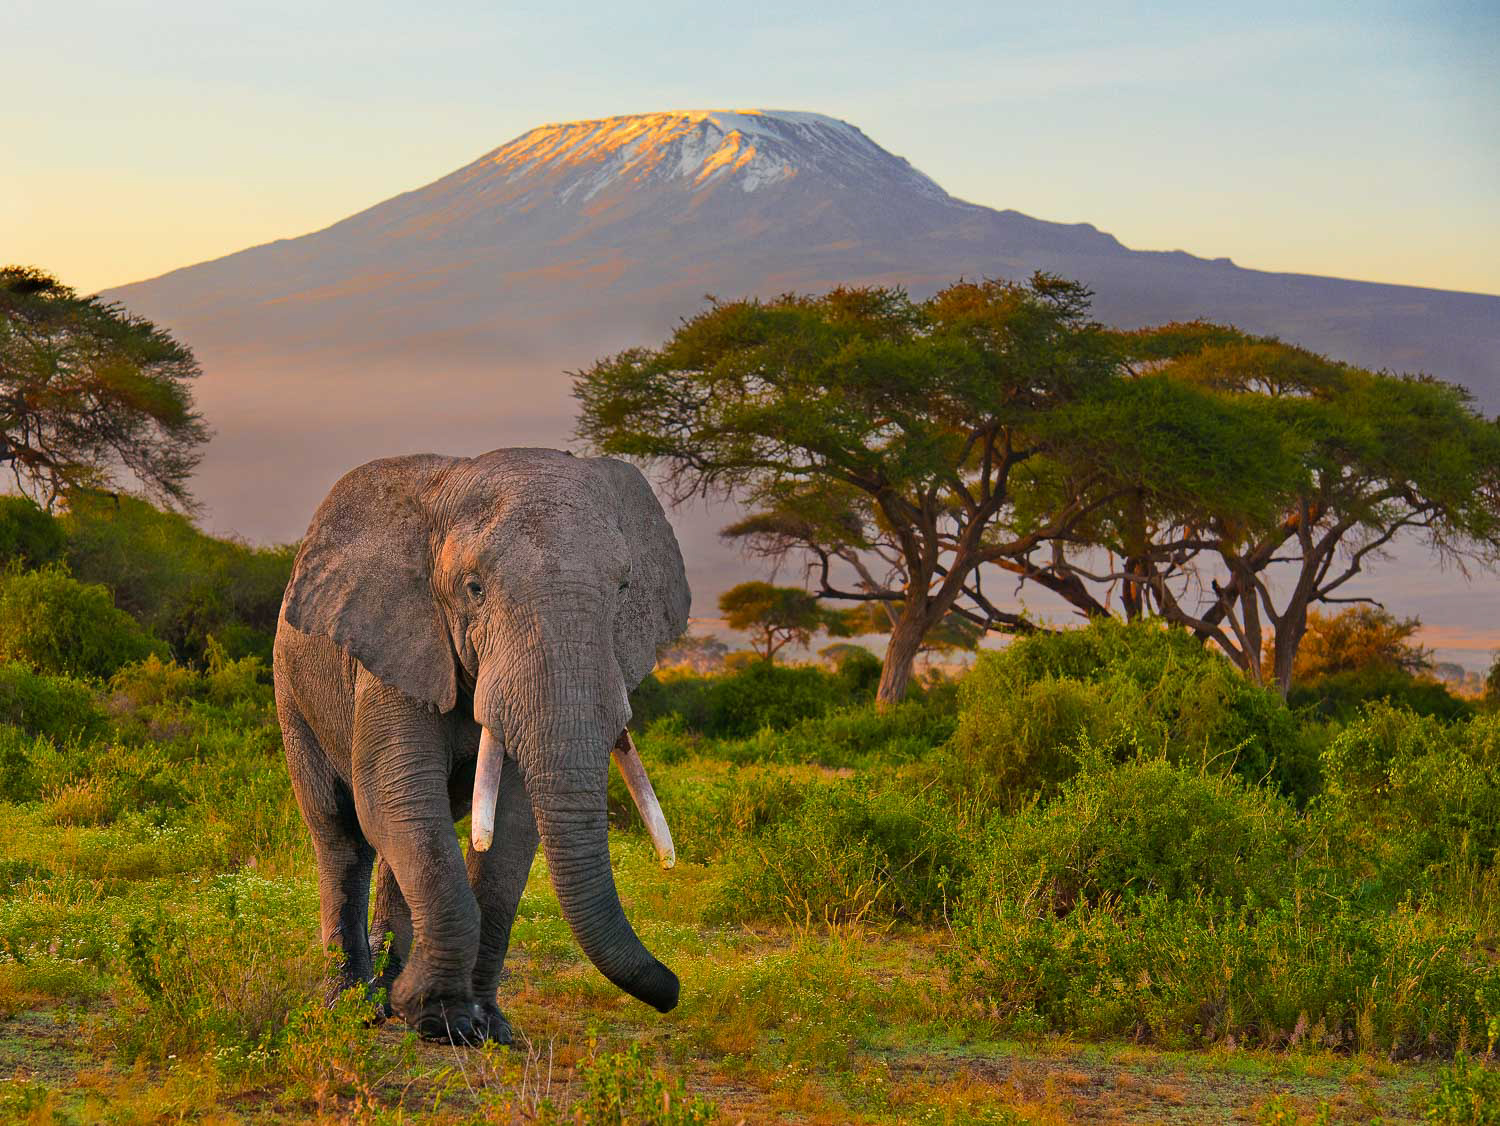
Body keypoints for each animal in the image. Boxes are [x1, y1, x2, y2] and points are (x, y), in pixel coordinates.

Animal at [271, 443, 690, 1043]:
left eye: (623, 590)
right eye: (473, 588)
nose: (673, 988)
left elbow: (510, 824)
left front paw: (480, 1028)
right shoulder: (398, 642)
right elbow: (393, 797)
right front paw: (431, 1013)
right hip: (292, 689)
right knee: (342, 834)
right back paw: (353, 1010)